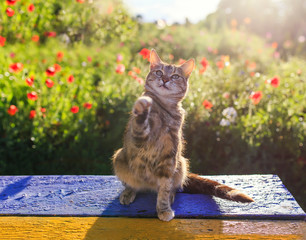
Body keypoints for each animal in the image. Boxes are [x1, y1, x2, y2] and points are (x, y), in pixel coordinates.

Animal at [112, 49, 253, 222]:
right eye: (159, 72)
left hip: (181, 162)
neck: (164, 110)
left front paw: (163, 208)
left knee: (174, 186)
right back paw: (128, 192)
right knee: (131, 184)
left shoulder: (169, 156)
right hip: (119, 157)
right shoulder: (138, 139)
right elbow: (141, 123)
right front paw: (144, 107)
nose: (165, 79)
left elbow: (165, 187)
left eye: (175, 76)